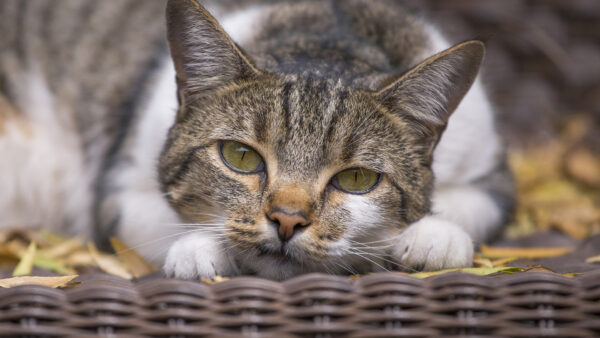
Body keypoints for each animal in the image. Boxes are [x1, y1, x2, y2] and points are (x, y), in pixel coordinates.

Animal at [1, 0, 516, 280]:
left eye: (356, 178)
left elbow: (467, 207)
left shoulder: (490, 168)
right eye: (240, 157)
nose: (287, 219)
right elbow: (166, 226)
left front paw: (432, 237)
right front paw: (199, 251)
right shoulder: (117, 188)